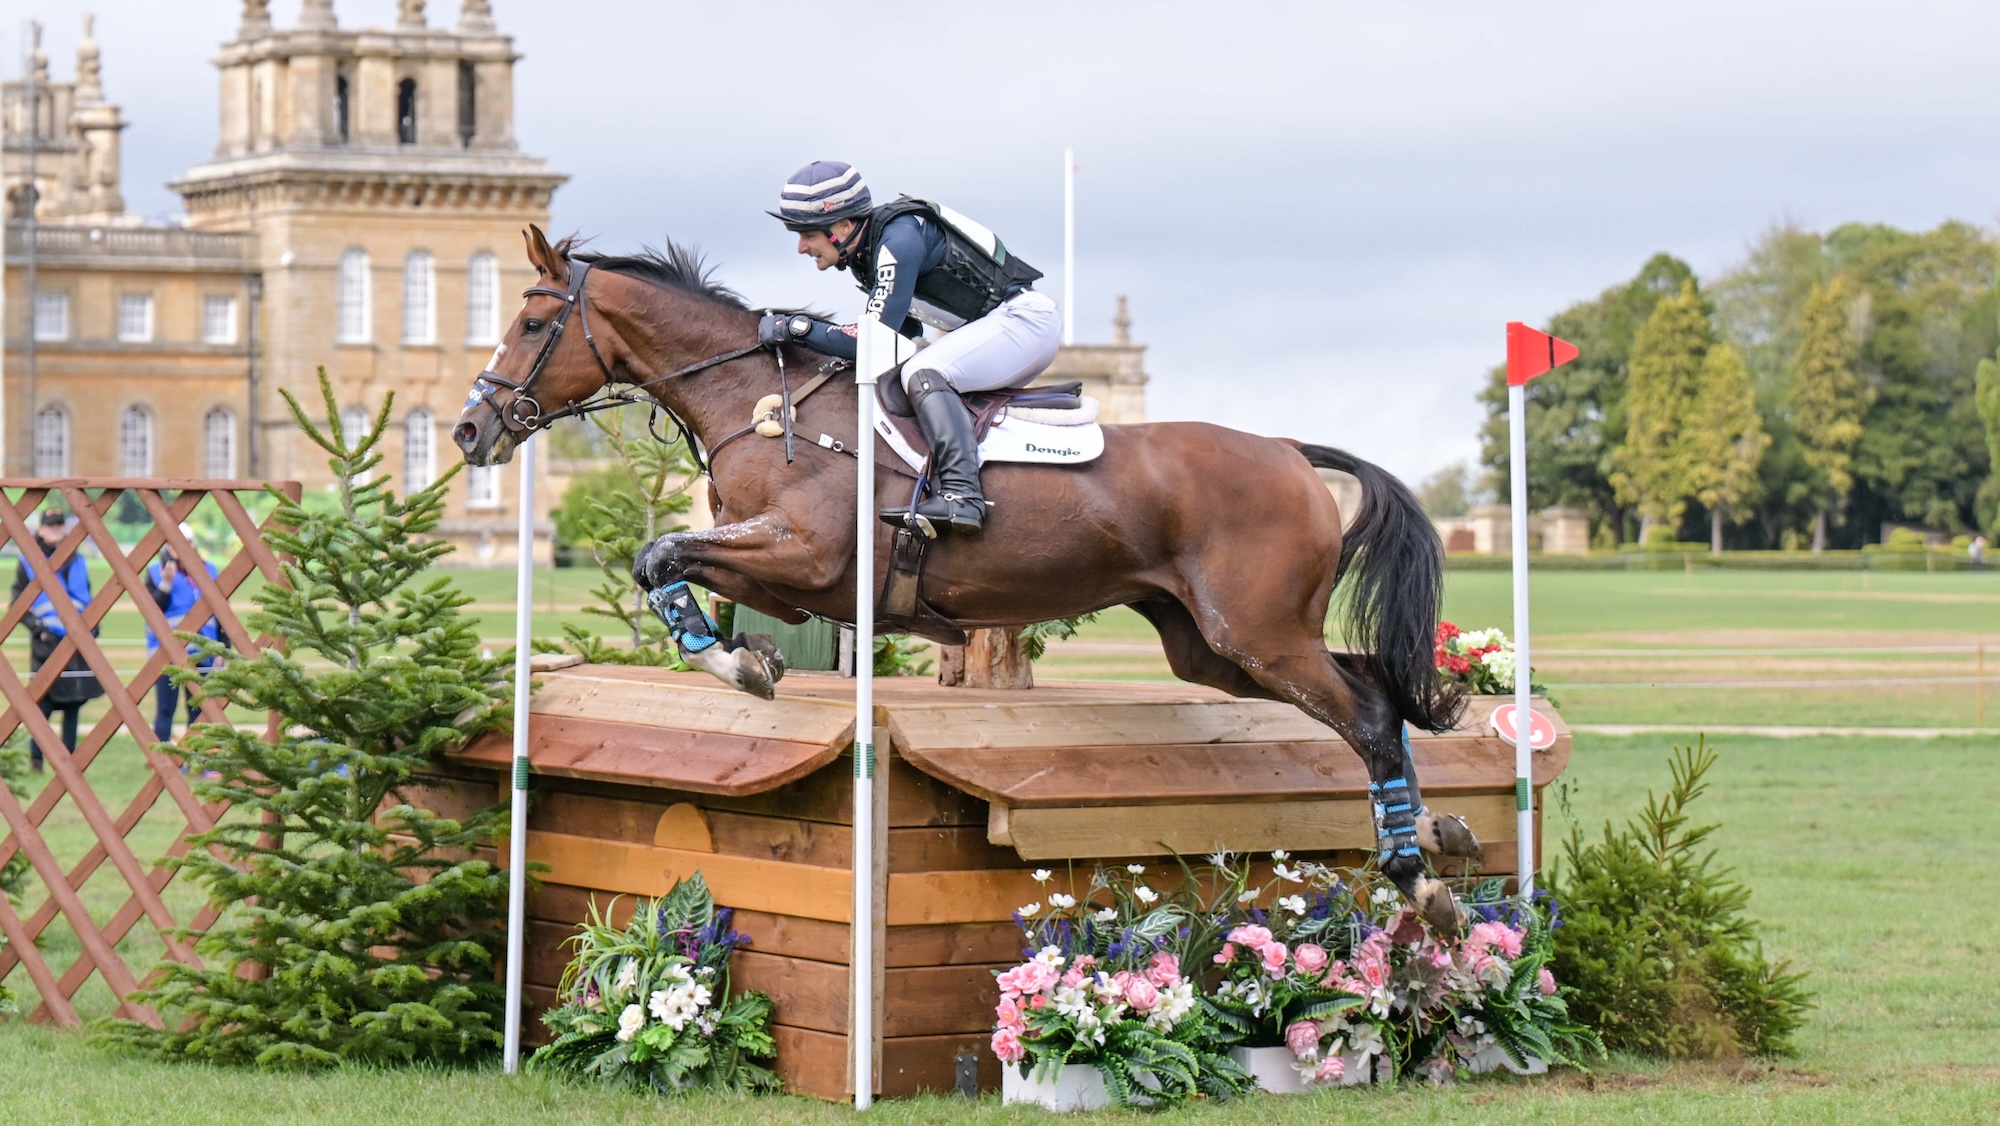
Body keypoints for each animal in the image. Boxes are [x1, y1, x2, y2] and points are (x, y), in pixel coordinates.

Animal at [454, 225, 1478, 931]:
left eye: (534, 322)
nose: (471, 431)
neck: (759, 399)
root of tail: (1290, 452)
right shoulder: (789, 574)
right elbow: (674, 567)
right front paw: (746, 657)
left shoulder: (807, 554)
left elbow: (660, 555)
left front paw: (738, 667)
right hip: (1214, 646)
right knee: (1380, 691)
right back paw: (1434, 831)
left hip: (1256, 634)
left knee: (1370, 715)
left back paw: (1418, 880)